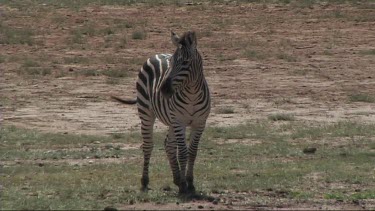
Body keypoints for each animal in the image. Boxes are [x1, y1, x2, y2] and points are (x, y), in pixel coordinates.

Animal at [111, 30, 212, 194]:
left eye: (185, 62)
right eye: (171, 62)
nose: (163, 89)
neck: (192, 94)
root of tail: (156, 54)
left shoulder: (200, 123)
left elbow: (192, 152)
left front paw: (189, 182)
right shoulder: (179, 122)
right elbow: (182, 153)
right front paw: (184, 184)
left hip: (171, 121)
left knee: (168, 144)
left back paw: (176, 179)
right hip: (147, 113)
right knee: (147, 145)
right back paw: (145, 181)